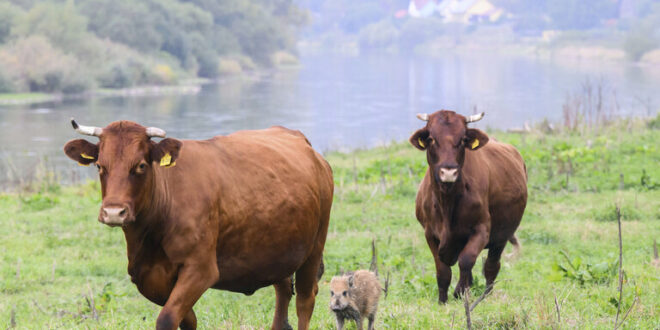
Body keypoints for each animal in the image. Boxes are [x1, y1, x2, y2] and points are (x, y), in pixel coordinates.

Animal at [63, 120, 332, 328]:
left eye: (140, 165)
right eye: (100, 165)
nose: (113, 212)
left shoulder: (201, 268)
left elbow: (167, 318)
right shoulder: (146, 275)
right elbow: (187, 318)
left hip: (315, 246)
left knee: (305, 299)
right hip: (278, 249)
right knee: (284, 288)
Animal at [410, 109, 528, 302]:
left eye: (463, 139)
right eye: (432, 138)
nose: (448, 171)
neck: (447, 202)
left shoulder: (482, 229)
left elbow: (466, 260)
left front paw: (460, 291)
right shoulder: (430, 233)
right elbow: (442, 270)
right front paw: (442, 300)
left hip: (502, 236)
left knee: (491, 266)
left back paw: (485, 295)